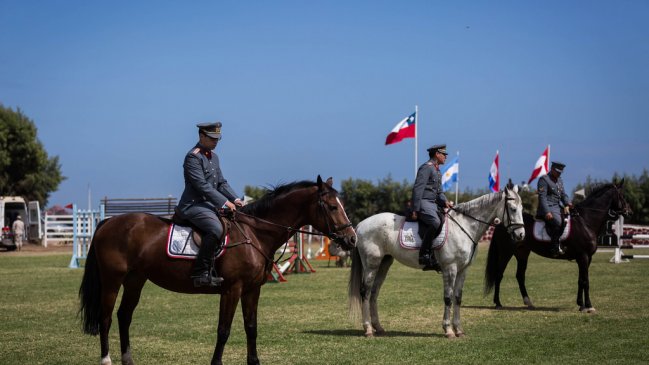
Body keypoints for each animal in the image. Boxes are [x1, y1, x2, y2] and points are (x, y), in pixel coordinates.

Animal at [79, 175, 360, 362]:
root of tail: (108, 222)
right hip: (112, 280)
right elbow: (223, 331)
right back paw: (106, 360)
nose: (352, 239)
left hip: (135, 280)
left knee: (124, 316)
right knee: (106, 318)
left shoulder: (252, 290)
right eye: (332, 207)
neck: (255, 233)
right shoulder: (231, 290)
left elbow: (251, 328)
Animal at [346, 186, 524, 336]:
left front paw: (459, 329)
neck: (464, 227)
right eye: (513, 209)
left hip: (384, 264)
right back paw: (368, 329)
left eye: (522, 209)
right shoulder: (450, 268)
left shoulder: (463, 270)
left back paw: (378, 327)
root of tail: (360, 225)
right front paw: (448, 330)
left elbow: (458, 298)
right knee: (365, 292)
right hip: (371, 265)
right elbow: (448, 298)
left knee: (374, 293)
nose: (521, 235)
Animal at [484, 181, 632, 312]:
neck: (585, 221)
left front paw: (581, 304)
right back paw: (498, 303)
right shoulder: (583, 256)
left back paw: (529, 302)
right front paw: (589, 306)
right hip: (506, 253)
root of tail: (503, 223)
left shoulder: (586, 258)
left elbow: (581, 280)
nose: (629, 212)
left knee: (520, 276)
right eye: (622, 196)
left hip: (522, 253)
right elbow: (586, 281)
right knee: (499, 274)